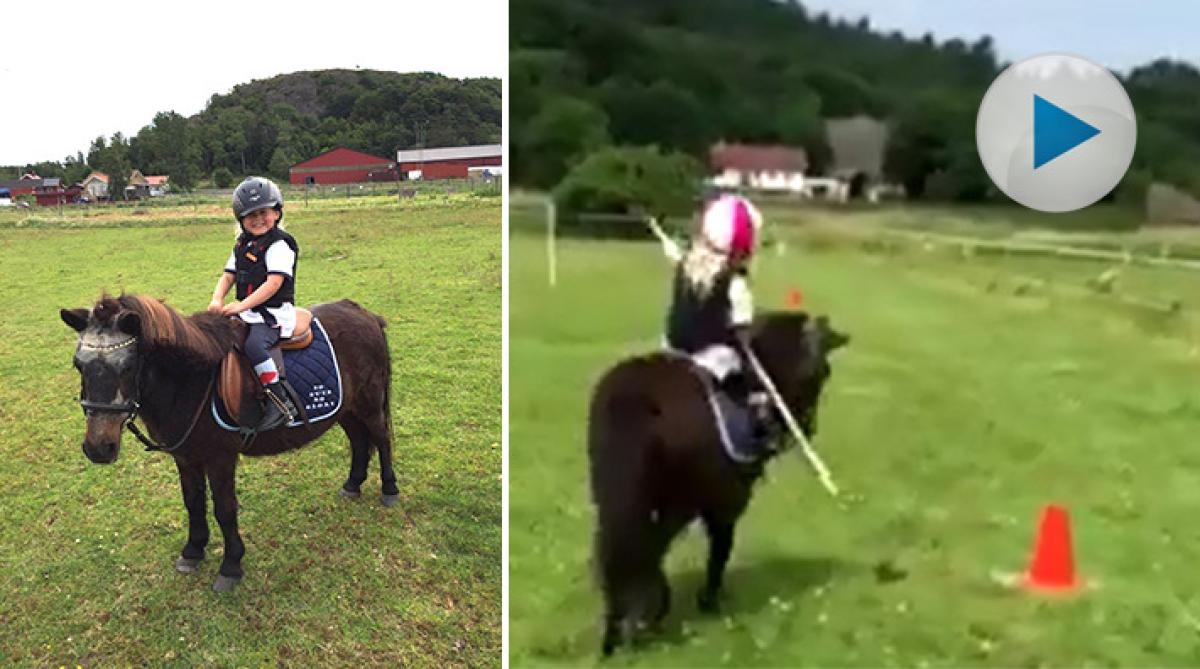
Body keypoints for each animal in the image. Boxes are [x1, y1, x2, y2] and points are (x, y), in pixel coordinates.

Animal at [60, 293, 393, 592]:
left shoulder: (220, 457)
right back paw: (353, 484)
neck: (191, 381)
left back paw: (389, 490)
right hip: (347, 409)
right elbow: (193, 502)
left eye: (127, 366)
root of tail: (365, 314)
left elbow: (225, 508)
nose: (98, 448)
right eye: (78, 365)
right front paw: (193, 550)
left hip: (369, 403)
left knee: (381, 439)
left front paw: (231, 565)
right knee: (359, 441)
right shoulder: (185, 456)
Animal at [585, 311, 849, 657]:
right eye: (822, 372)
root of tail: (631, 401)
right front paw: (707, 601)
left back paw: (618, 629)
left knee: (617, 550)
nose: (807, 427)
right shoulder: (724, 502)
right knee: (642, 551)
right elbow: (720, 549)